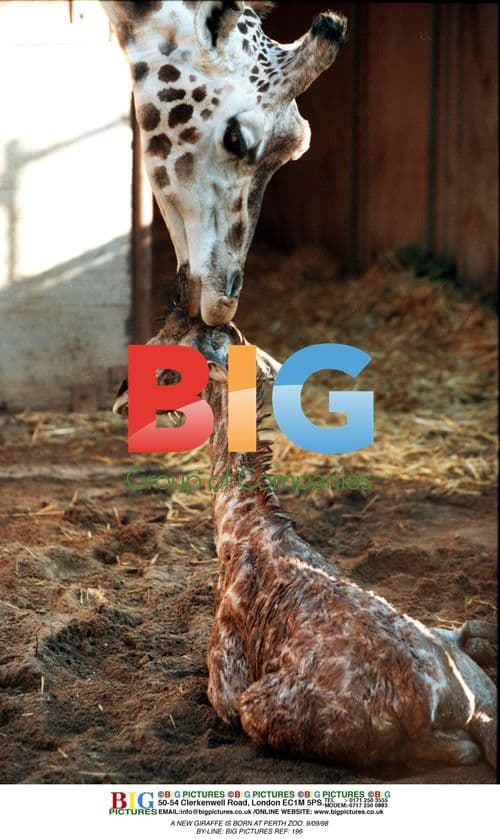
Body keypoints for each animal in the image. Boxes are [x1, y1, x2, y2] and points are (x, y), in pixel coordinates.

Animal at [113, 310, 497, 769]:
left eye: (174, 354)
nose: (121, 395)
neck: (240, 529)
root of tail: (453, 706)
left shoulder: (225, 686)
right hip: (477, 676)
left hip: (263, 709)